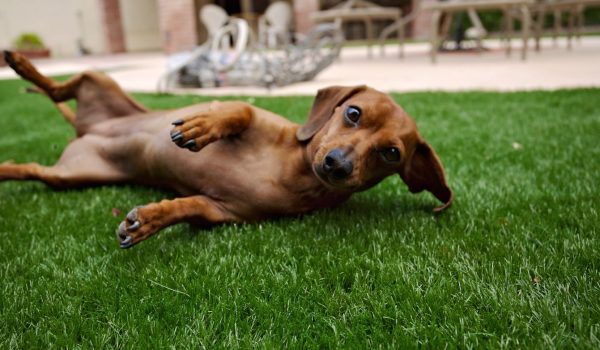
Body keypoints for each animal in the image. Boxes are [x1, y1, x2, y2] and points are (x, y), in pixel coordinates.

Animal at [0, 51, 450, 249]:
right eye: (353, 113)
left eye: (391, 153)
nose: (337, 165)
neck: (293, 170)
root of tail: (86, 129)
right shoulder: (253, 114)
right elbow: (237, 109)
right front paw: (203, 126)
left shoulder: (221, 211)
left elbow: (188, 207)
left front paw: (149, 220)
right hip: (99, 81)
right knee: (59, 86)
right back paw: (22, 63)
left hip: (69, 177)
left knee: (29, 167)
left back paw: (7, 165)